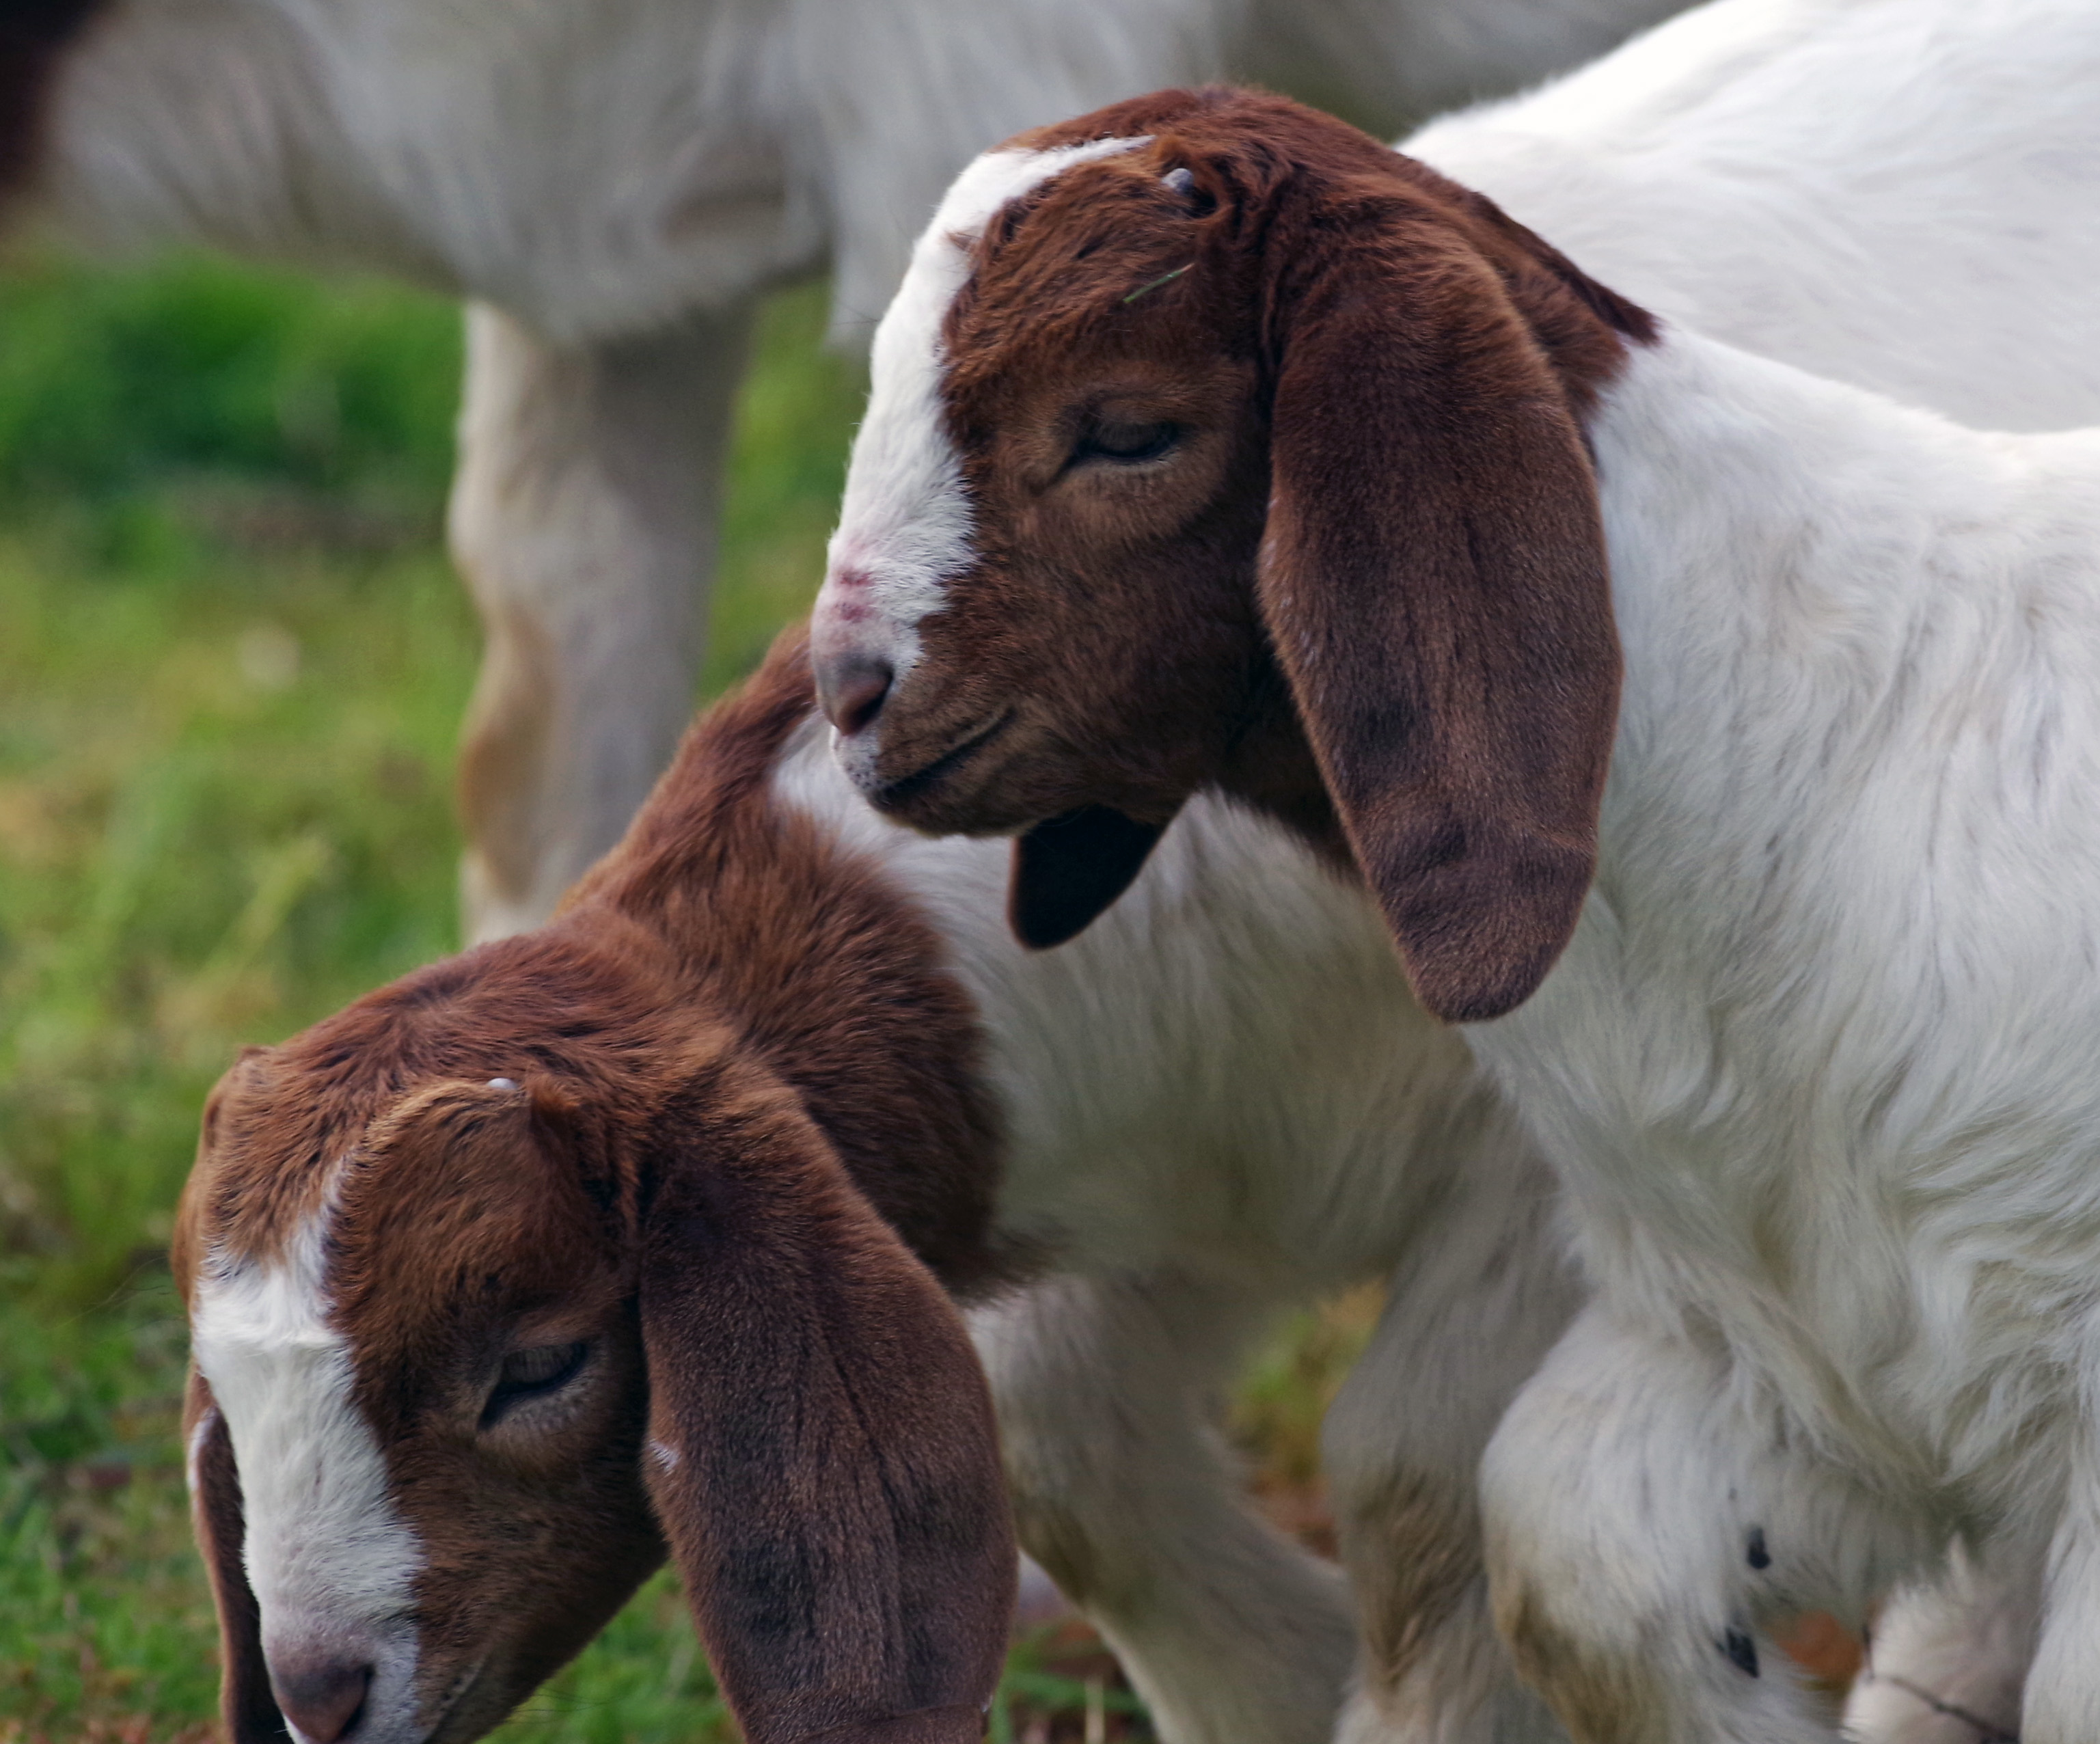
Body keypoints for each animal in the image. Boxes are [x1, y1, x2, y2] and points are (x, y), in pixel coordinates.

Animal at [180, 630, 1579, 1744]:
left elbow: (1416, 1482)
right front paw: (1284, 1687)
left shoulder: (1538, 1168)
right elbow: (1058, 1445)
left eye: (539, 1366)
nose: (317, 1694)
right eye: (225, 1397)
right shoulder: (1169, 1192)